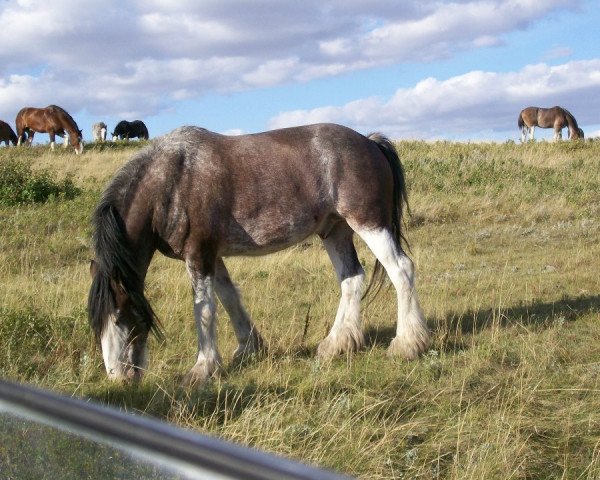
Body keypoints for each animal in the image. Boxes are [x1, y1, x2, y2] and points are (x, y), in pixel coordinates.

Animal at [86, 124, 428, 386]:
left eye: (119, 315)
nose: (119, 377)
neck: (171, 182)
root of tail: (370, 142)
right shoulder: (213, 256)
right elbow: (228, 298)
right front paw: (249, 348)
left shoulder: (199, 254)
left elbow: (204, 309)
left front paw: (202, 369)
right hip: (336, 231)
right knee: (351, 279)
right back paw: (336, 344)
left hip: (369, 223)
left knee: (401, 270)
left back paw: (407, 344)